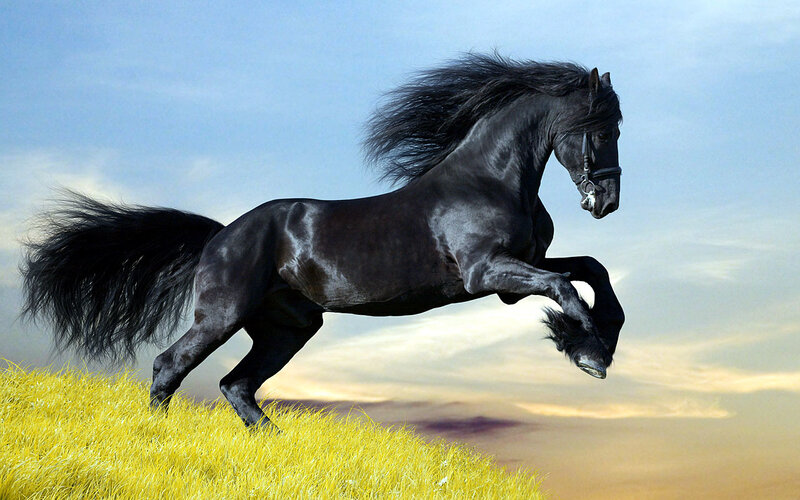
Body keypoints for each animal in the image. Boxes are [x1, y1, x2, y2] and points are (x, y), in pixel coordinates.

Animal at [21, 53, 625, 431]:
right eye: (601, 128)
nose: (606, 202)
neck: (490, 180)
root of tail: (220, 235)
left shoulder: (518, 271)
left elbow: (591, 269)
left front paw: (598, 340)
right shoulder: (488, 273)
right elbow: (565, 287)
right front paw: (588, 353)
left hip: (287, 328)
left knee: (237, 384)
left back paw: (275, 445)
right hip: (222, 314)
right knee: (170, 366)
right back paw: (160, 435)